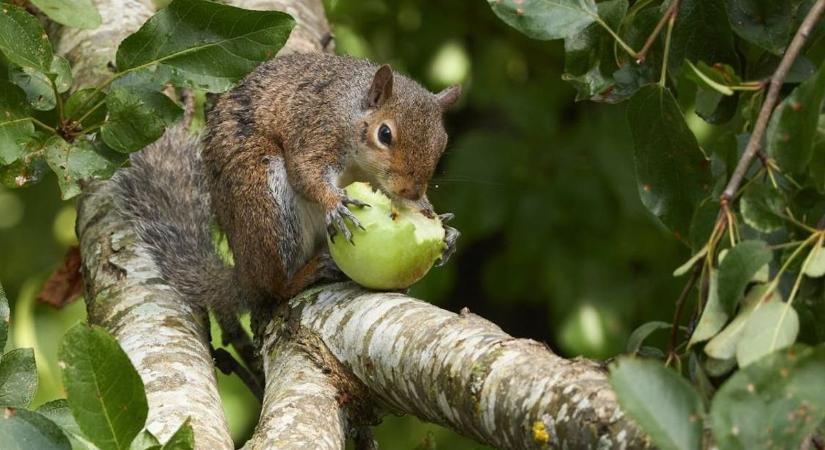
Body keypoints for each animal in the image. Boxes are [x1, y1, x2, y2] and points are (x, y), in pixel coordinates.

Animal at [110, 52, 460, 370]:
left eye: (442, 143)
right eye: (384, 134)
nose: (411, 191)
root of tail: (244, 274)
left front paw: (442, 226)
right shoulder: (317, 128)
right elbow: (305, 172)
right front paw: (335, 204)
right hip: (264, 201)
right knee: (274, 288)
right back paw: (307, 273)